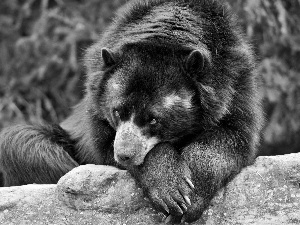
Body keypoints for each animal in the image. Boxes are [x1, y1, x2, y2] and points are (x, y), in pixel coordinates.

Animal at [0, 0, 262, 222]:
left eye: (154, 119)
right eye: (117, 112)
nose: (124, 154)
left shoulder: (235, 86)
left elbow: (232, 137)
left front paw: (190, 197)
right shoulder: (96, 105)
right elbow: (103, 145)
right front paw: (172, 193)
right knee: (20, 143)